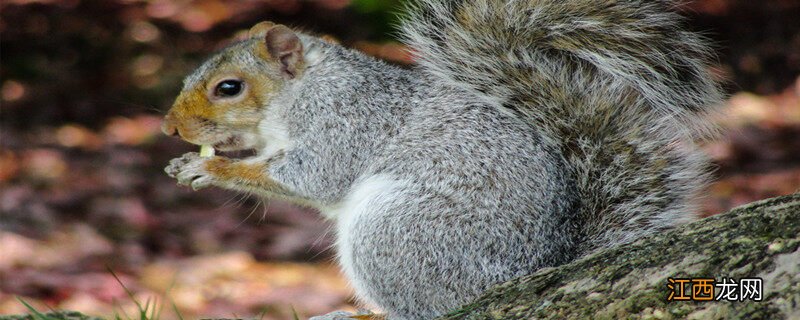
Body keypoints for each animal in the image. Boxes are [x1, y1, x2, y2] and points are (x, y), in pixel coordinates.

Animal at [162, 0, 724, 318]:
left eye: (229, 88)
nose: (170, 128)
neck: (303, 90)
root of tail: (537, 265)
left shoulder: (345, 123)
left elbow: (313, 177)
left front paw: (209, 167)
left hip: (397, 232)